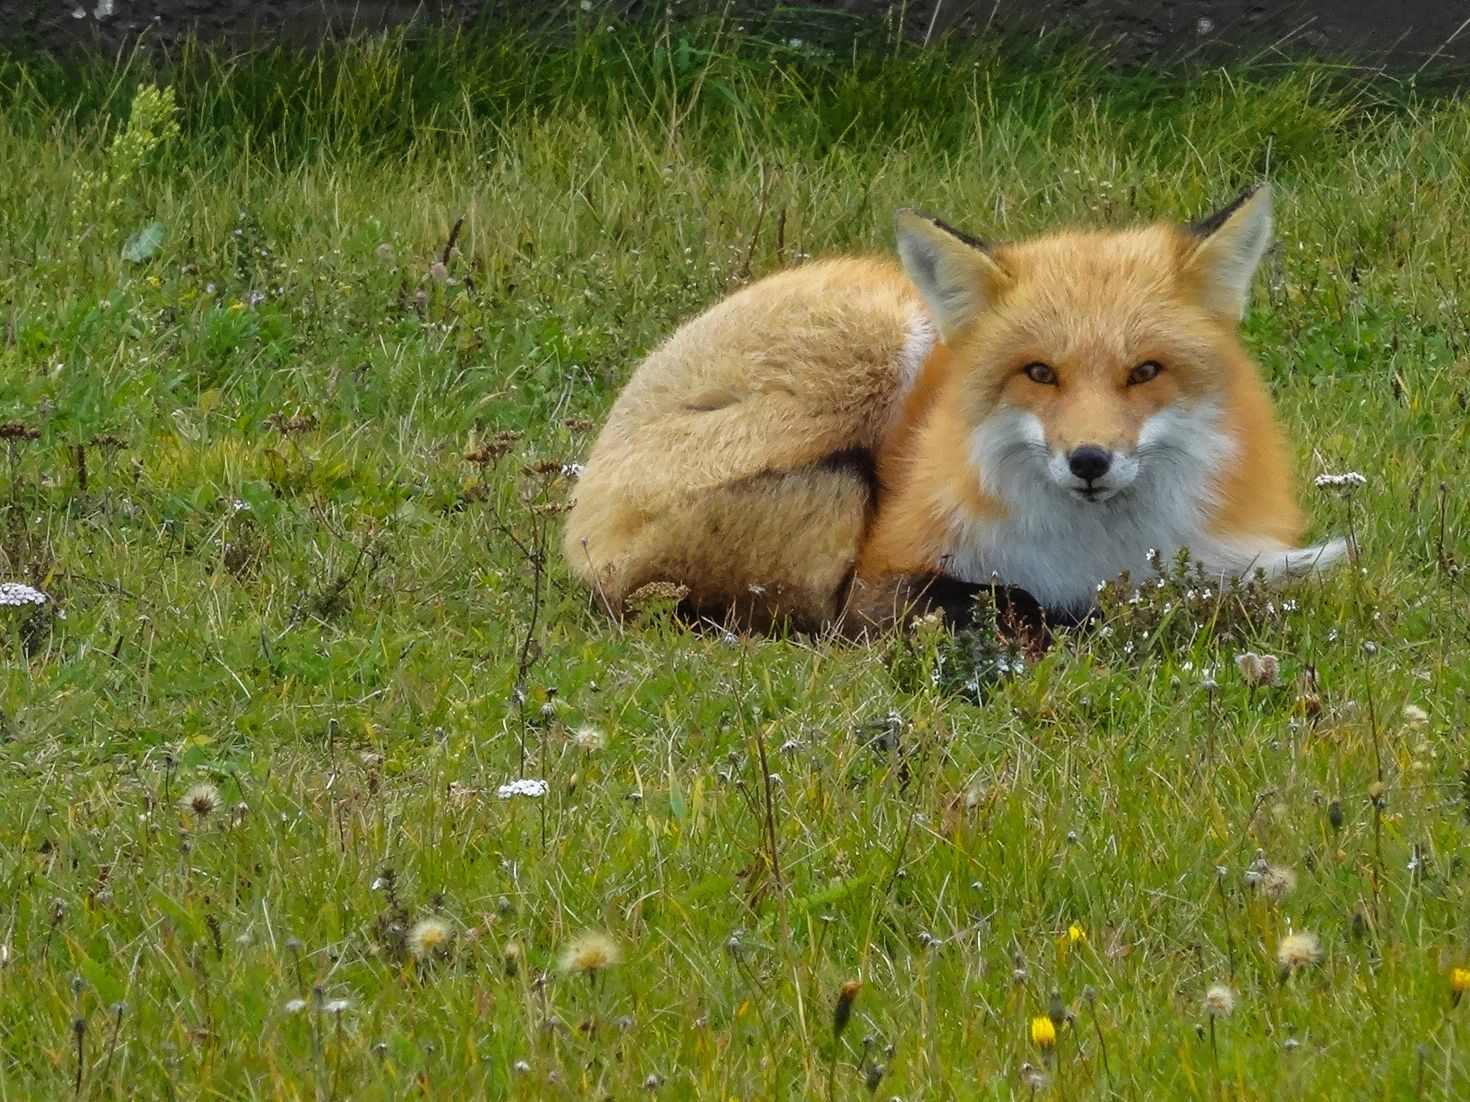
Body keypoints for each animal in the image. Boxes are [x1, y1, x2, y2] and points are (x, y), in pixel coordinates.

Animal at [567, 186, 1346, 637]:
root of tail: (578, 533)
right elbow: (1012, 600)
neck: (1095, 554)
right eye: (1040, 373)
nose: (1089, 461)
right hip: (882, 333)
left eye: (1145, 373)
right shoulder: (883, 575)